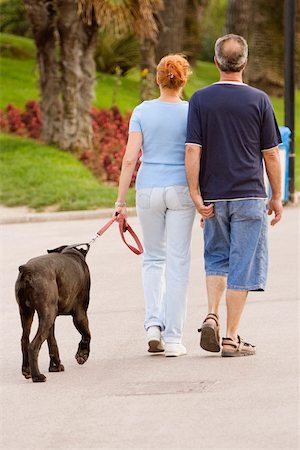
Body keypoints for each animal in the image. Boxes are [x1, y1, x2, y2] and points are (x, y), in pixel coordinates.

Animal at [15, 244, 90, 382]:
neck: (71, 253)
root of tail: (27, 270)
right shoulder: (80, 314)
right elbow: (86, 335)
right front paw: (82, 355)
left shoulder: (50, 320)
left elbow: (52, 342)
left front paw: (55, 366)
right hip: (48, 315)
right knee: (33, 346)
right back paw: (37, 376)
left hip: (29, 313)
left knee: (25, 340)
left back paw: (27, 370)